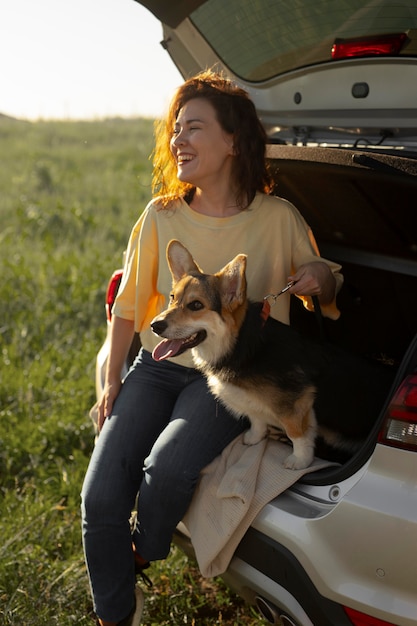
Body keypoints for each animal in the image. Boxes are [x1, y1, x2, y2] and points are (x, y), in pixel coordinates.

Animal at [151, 239, 392, 468]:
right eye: (172, 298)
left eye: (195, 305)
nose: (155, 325)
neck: (240, 345)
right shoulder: (252, 403)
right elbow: (256, 419)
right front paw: (254, 438)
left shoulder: (296, 404)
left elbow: (297, 434)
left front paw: (299, 461)